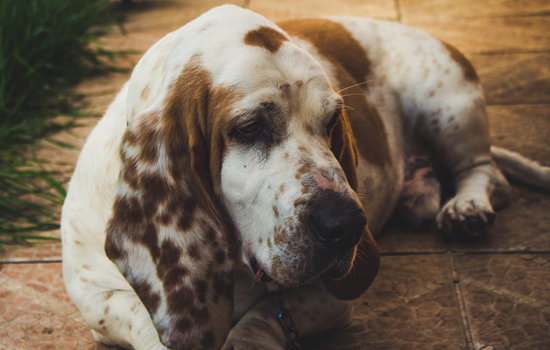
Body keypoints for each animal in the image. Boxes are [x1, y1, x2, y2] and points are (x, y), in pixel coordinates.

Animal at [61, 5, 550, 350]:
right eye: (249, 128)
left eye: (332, 122)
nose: (347, 226)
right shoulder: (93, 297)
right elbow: (138, 314)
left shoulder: (330, 299)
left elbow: (265, 318)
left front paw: (246, 337)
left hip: (449, 108)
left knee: (485, 173)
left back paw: (467, 207)